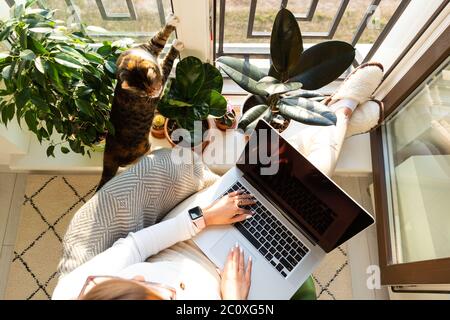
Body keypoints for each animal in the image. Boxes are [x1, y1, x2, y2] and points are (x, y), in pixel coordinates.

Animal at [96, 15, 184, 192]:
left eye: (152, 86)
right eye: (145, 93)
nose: (155, 92)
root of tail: (108, 154)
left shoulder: (150, 46)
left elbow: (160, 37)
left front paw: (172, 21)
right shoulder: (163, 77)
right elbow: (168, 61)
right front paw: (176, 46)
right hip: (143, 147)